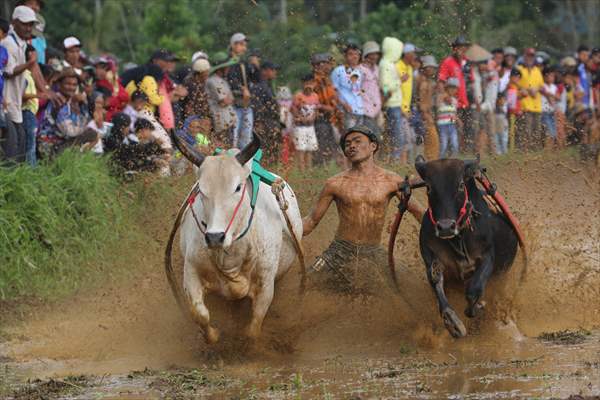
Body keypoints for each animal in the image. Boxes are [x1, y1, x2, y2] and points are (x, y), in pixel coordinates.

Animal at [168, 132, 300, 344]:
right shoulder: (191, 270)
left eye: (237, 187)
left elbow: (254, 327)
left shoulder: (266, 282)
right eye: (201, 190)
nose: (215, 237)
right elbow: (199, 313)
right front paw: (213, 336)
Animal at [414, 156, 516, 338]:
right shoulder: (431, 257)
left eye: (461, 185)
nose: (445, 227)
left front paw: (478, 307)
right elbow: (437, 285)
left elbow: (474, 289)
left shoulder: (487, 256)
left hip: (502, 273)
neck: (458, 238)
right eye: (429, 187)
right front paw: (452, 322)